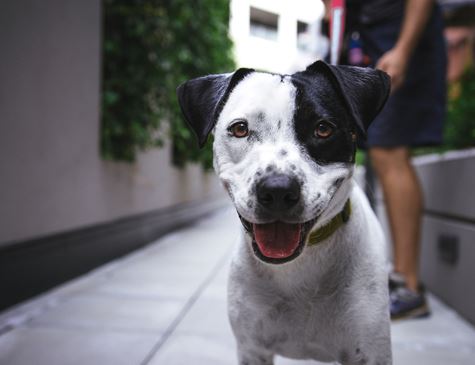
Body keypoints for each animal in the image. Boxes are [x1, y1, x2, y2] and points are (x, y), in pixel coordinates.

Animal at [177, 61, 392, 362]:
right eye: (240, 129)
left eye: (323, 129)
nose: (277, 190)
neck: (299, 267)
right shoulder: (252, 349)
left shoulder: (370, 352)